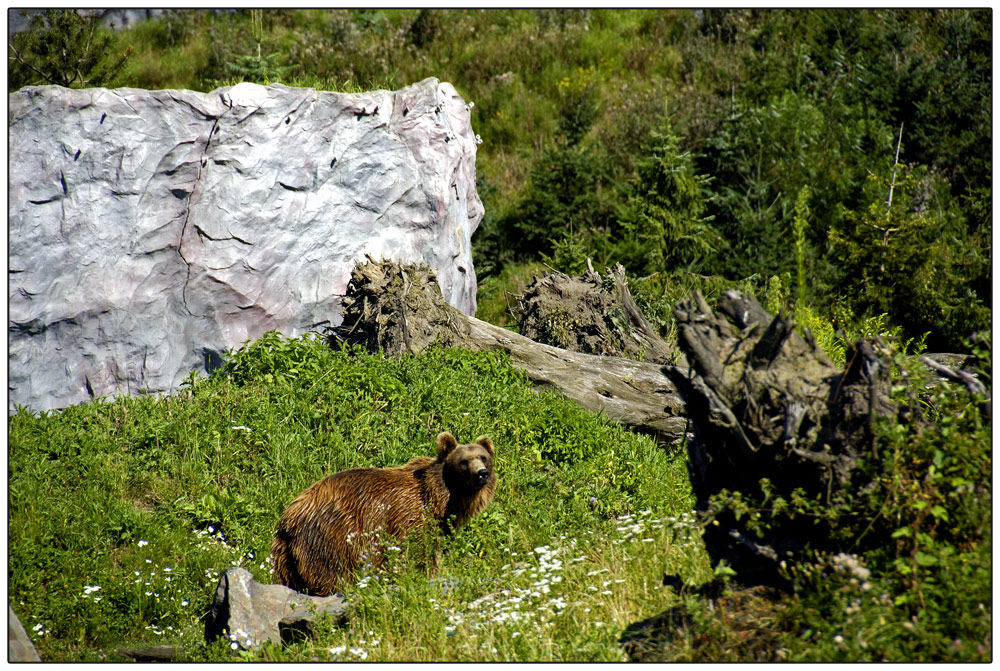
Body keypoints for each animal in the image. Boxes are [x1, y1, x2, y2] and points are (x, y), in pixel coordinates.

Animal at [270, 434, 496, 596]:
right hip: (331, 533)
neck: (440, 498)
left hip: (285, 557)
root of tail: (288, 517)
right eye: (464, 461)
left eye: (483, 457)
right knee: (330, 572)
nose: (482, 473)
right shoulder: (408, 516)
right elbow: (417, 551)